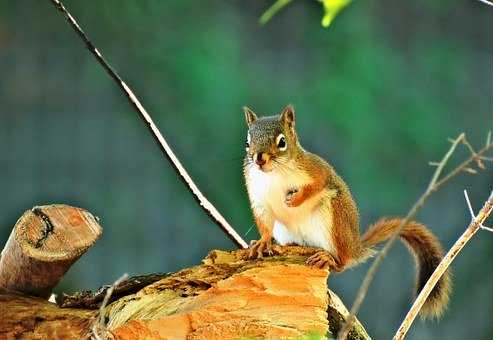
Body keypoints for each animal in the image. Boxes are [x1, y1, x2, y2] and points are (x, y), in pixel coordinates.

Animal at [241, 105, 450, 318]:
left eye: (282, 142)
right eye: (247, 142)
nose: (259, 159)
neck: (273, 174)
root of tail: (353, 246)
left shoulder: (314, 169)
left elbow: (319, 182)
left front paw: (296, 199)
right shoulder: (257, 195)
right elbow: (264, 221)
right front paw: (261, 243)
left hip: (335, 217)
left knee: (341, 263)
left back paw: (329, 258)